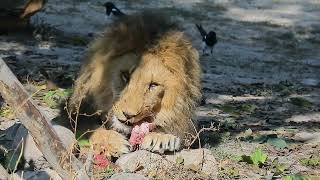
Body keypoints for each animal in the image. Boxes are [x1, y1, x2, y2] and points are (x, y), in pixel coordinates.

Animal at [68, 10, 201, 158]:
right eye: (125, 75)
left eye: (153, 85)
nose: (128, 115)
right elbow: (90, 129)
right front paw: (114, 142)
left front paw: (162, 138)